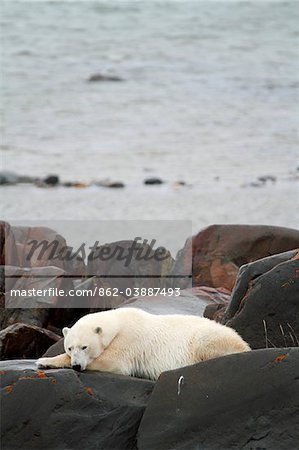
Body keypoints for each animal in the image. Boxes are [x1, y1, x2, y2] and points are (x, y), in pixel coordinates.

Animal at [38, 308, 253, 378]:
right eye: (70, 347)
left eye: (85, 347)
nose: (76, 365)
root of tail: (245, 343)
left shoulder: (130, 339)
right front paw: (44, 361)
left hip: (210, 337)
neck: (119, 323)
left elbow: (115, 361)